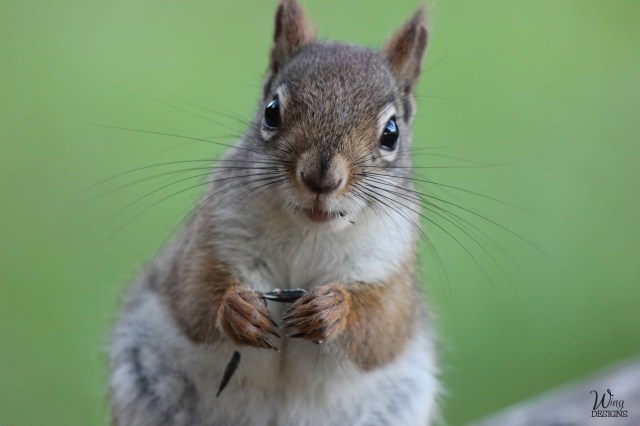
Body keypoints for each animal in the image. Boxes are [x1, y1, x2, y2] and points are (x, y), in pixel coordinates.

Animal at [109, 0, 439, 425]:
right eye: (271, 111)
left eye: (391, 132)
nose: (321, 178)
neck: (308, 231)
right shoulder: (208, 239)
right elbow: (193, 294)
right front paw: (238, 309)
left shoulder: (392, 269)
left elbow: (380, 329)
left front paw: (331, 309)